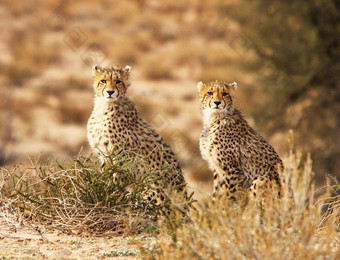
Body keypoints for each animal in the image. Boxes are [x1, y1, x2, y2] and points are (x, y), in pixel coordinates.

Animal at [87, 65, 187, 209]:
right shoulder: (103, 155)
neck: (105, 106)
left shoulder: (121, 157)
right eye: (103, 81)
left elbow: (115, 179)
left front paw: (110, 195)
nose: (110, 92)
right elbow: (105, 175)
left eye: (118, 81)